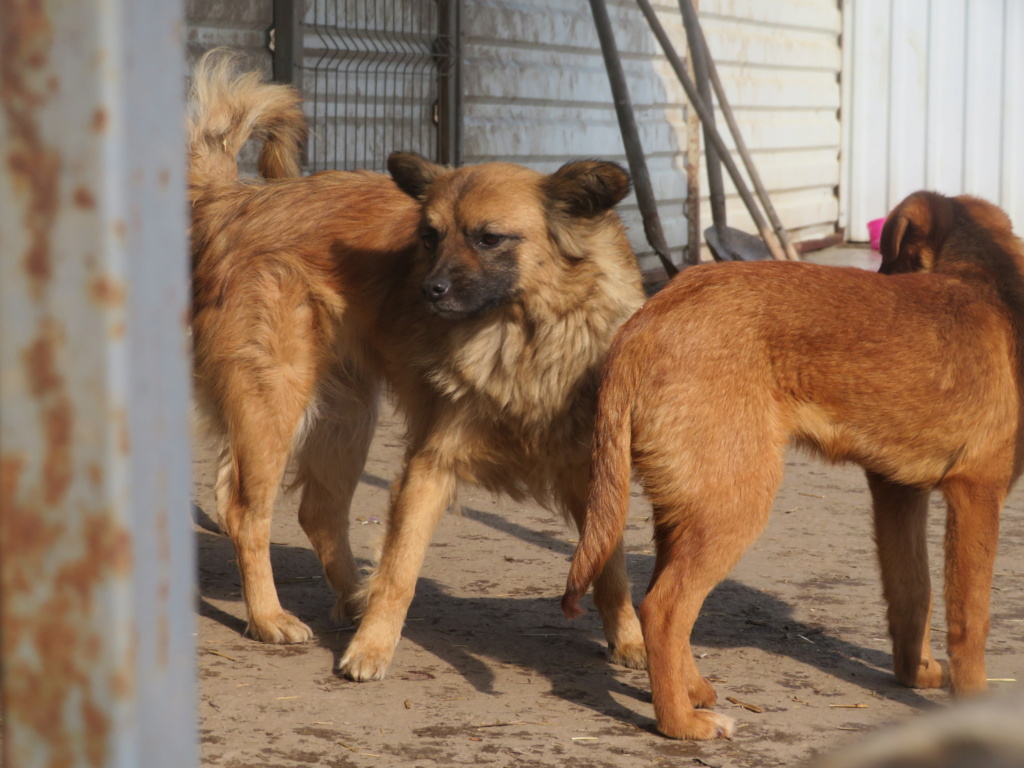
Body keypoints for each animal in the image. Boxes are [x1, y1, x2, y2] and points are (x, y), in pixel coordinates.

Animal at [188, 52, 643, 679]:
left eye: (489, 238)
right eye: (429, 236)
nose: (428, 291)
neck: (522, 336)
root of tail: (236, 202)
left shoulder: (589, 468)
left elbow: (611, 567)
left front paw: (633, 642)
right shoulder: (431, 460)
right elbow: (401, 567)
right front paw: (372, 649)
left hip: (345, 416)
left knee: (317, 511)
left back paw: (351, 597)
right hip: (274, 406)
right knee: (244, 513)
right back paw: (269, 617)